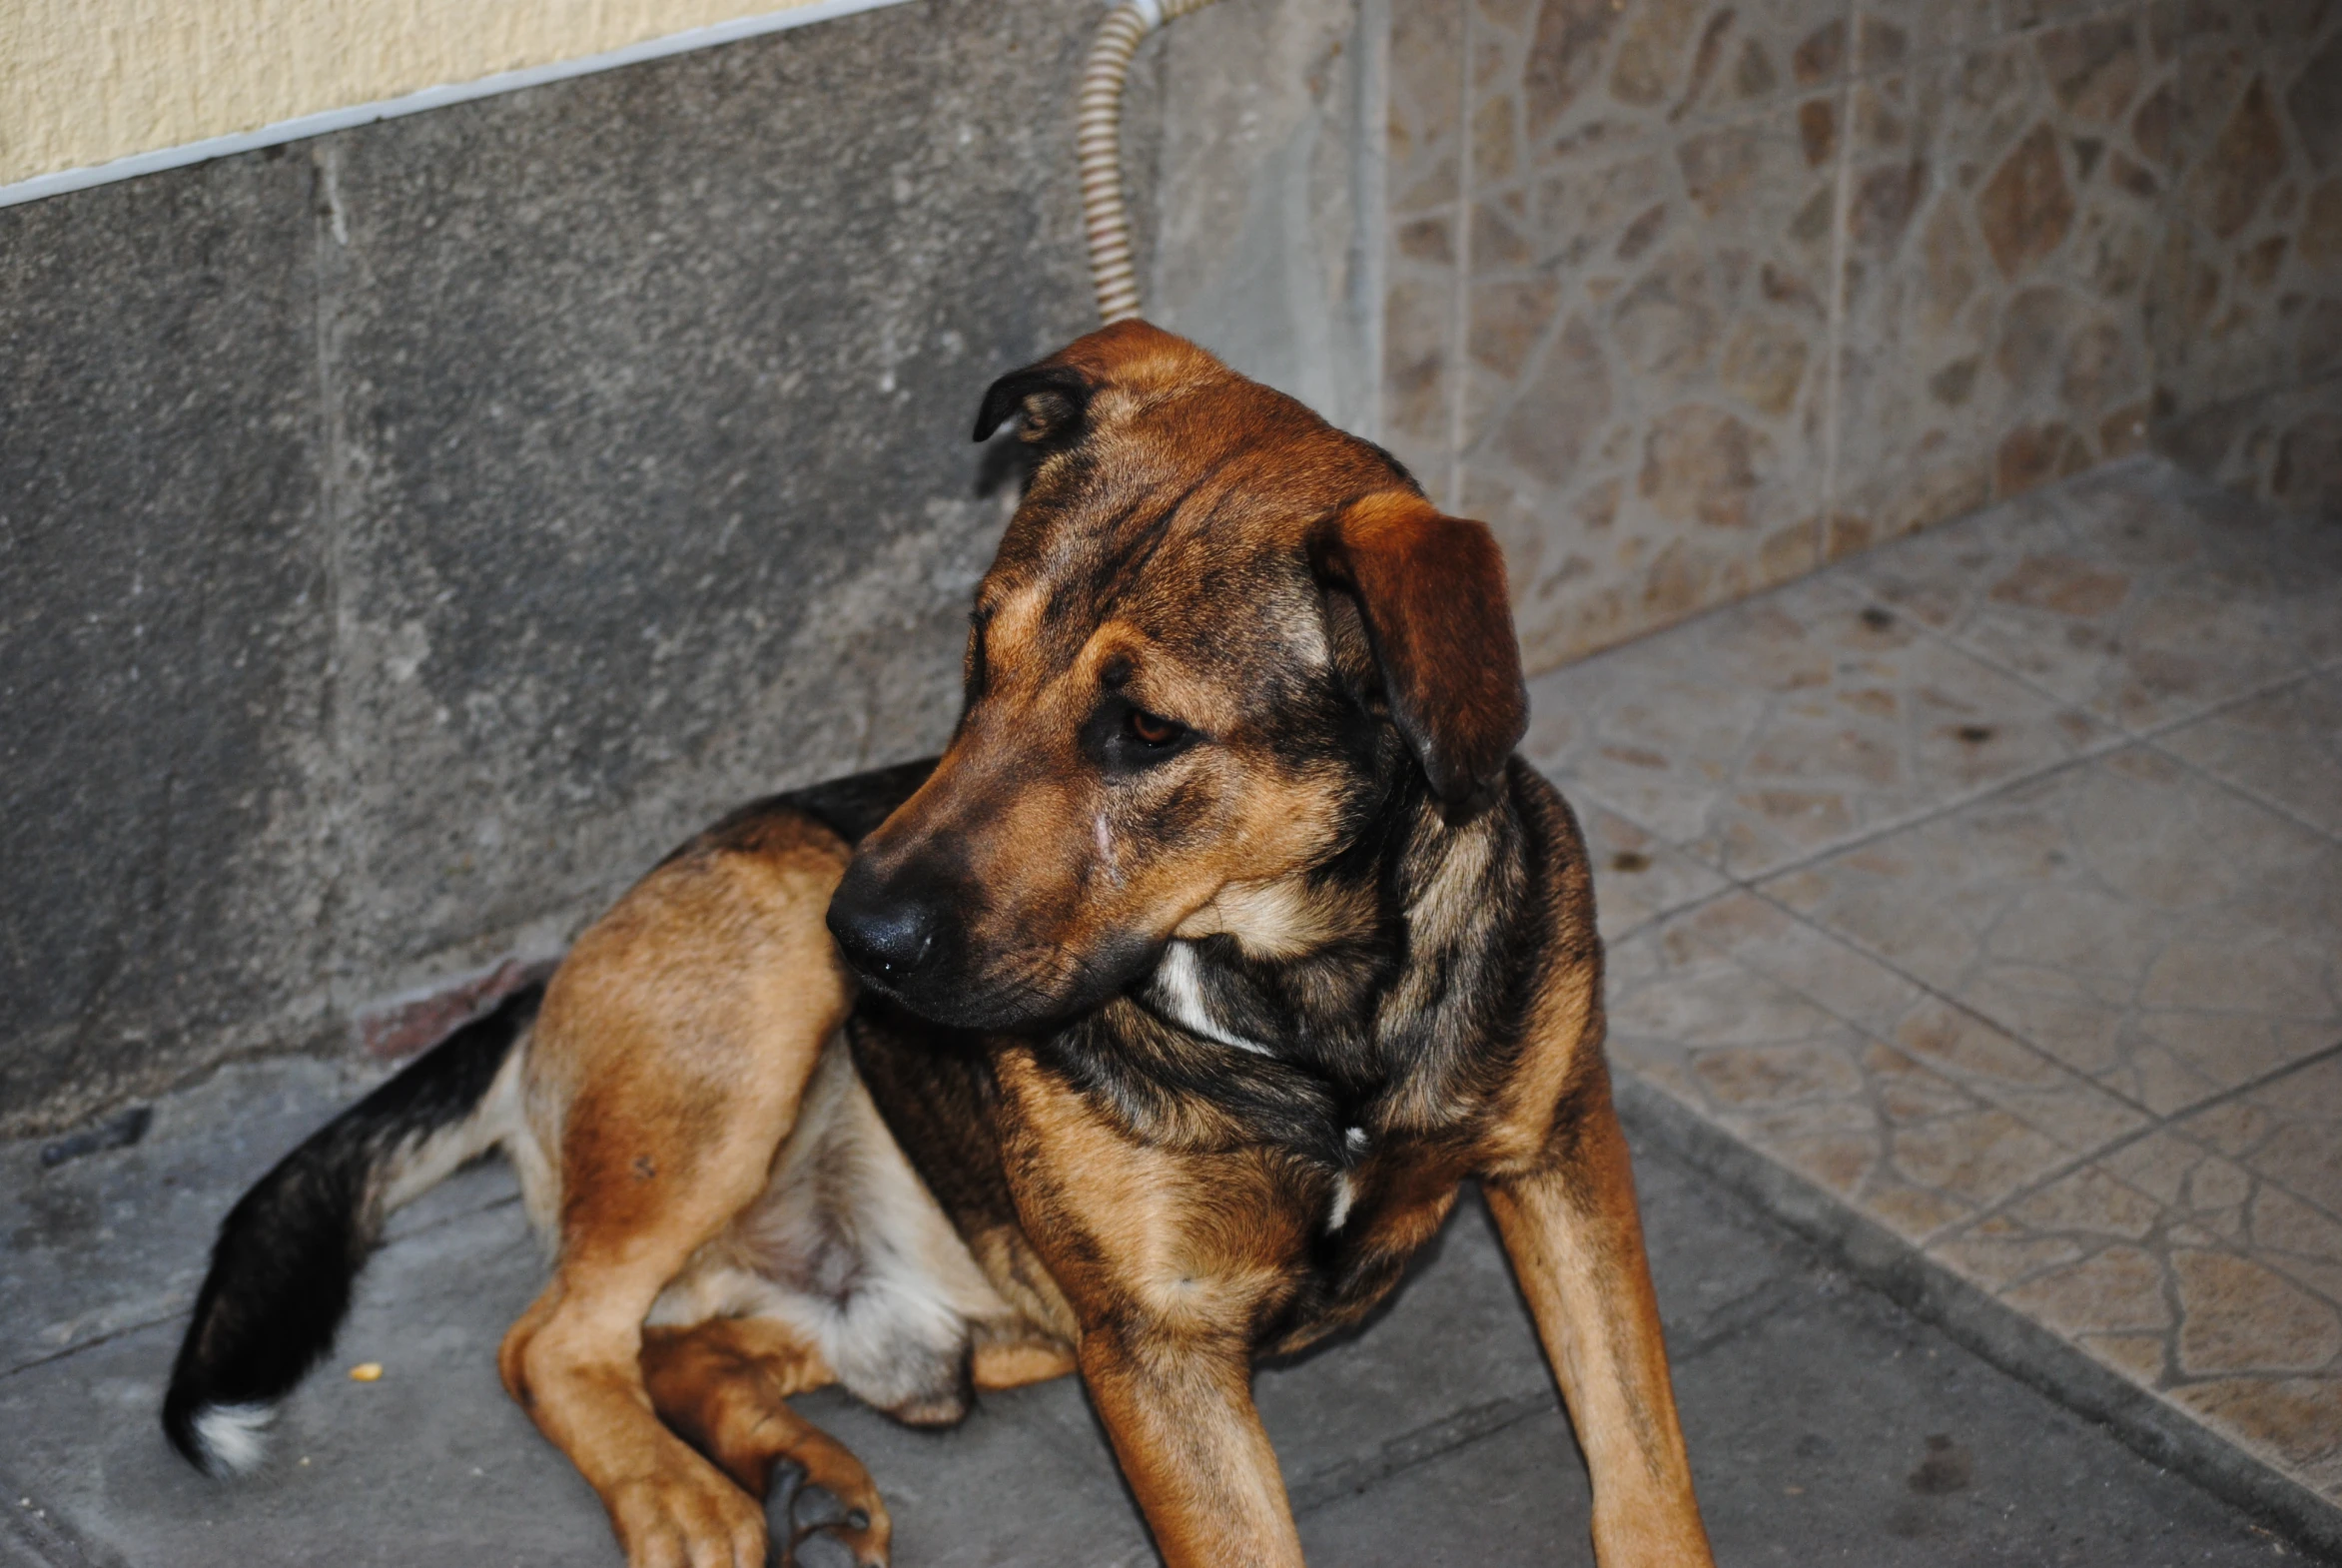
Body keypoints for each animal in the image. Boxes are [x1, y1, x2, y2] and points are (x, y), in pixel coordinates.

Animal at [160, 323, 1705, 1568]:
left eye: (1146, 728)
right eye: (979, 649)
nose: (864, 933)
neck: (1315, 1010)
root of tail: (543, 985)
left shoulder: (1561, 1158)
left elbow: (1641, 1465)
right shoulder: (1156, 1347)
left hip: (947, 1318)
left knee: (684, 1343)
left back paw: (802, 1479)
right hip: (752, 998)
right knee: (556, 1339)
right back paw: (690, 1499)